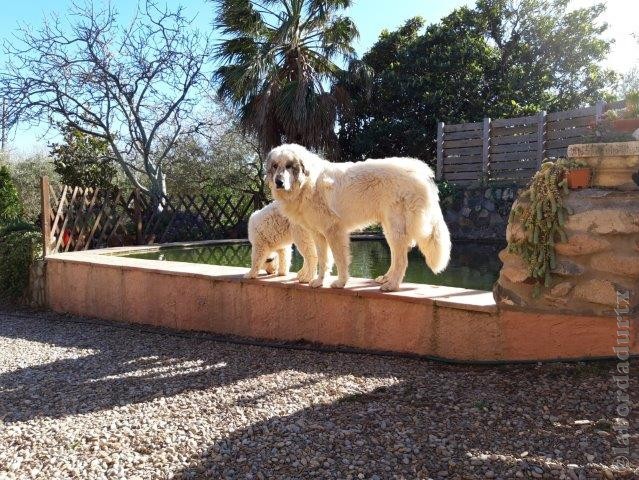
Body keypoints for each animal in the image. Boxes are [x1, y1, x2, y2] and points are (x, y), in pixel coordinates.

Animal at [264, 144, 450, 290]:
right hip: (389, 229)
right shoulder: (318, 234)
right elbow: (324, 260)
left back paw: (392, 285)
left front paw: (340, 282)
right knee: (396, 256)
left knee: (402, 259)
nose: (279, 182)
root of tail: (420, 171)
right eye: (275, 166)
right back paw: (386, 278)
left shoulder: (334, 231)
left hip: (397, 228)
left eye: (289, 166)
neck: (306, 184)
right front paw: (319, 282)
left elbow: (339, 259)